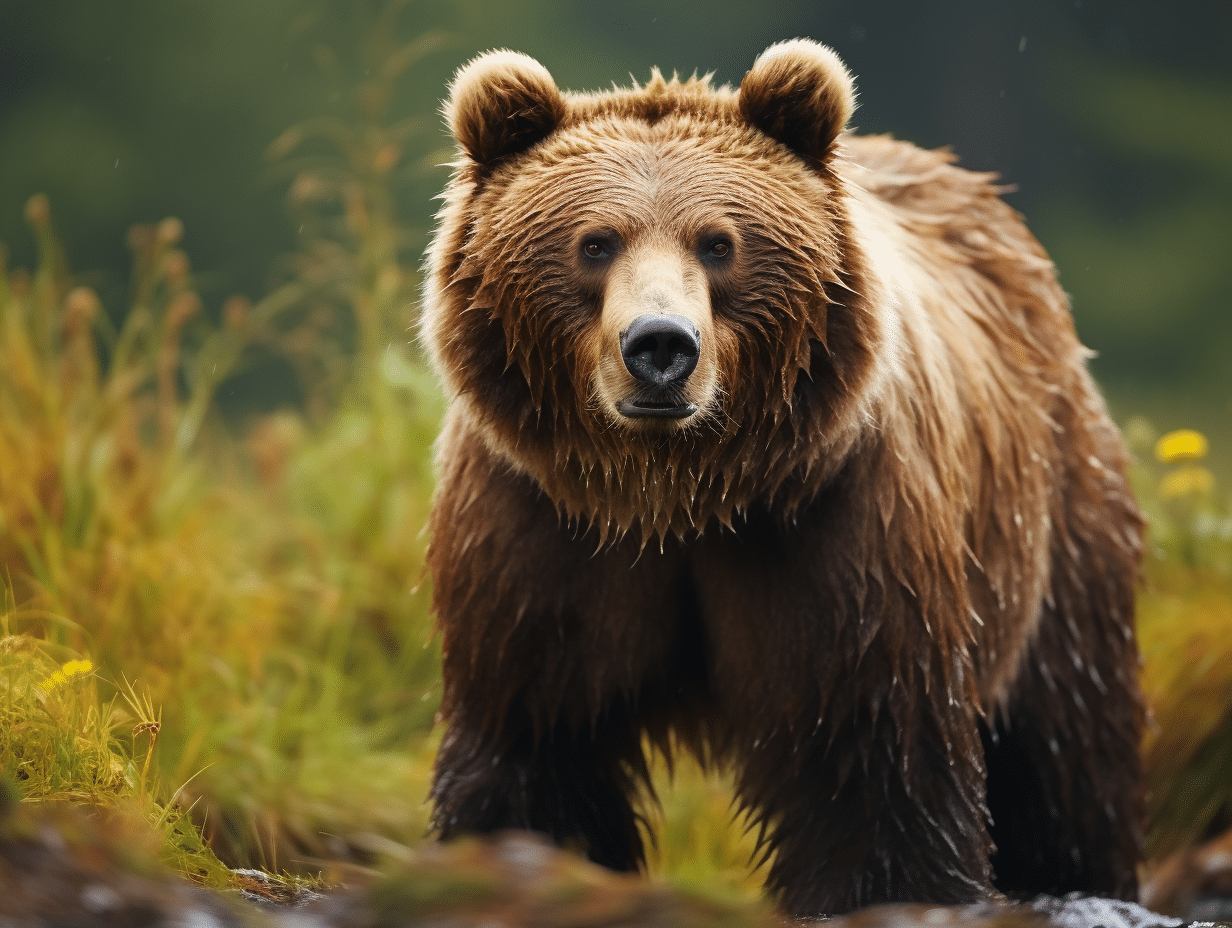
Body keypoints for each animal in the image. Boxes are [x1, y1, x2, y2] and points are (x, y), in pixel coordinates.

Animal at [420, 39, 1145, 918]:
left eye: (717, 242)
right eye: (595, 242)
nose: (660, 346)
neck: (673, 494)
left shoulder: (833, 522)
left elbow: (869, 748)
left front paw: (891, 889)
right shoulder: (540, 529)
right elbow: (536, 735)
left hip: (1052, 516)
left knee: (1066, 742)